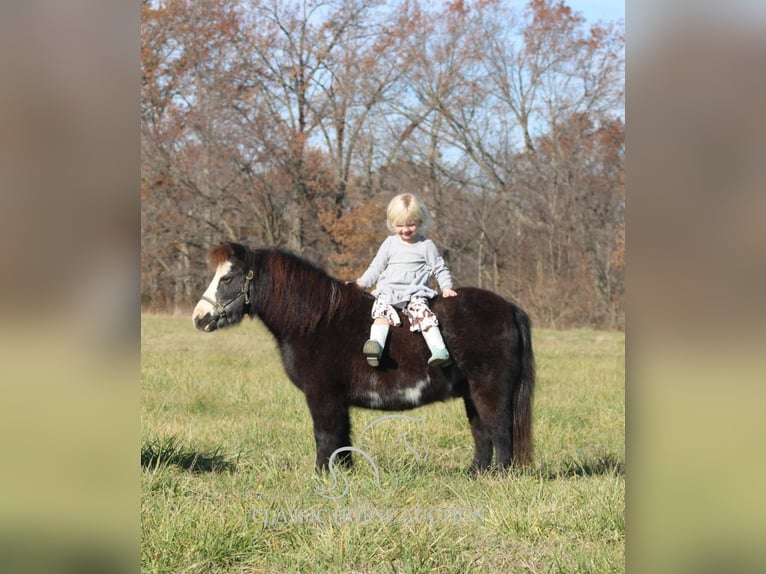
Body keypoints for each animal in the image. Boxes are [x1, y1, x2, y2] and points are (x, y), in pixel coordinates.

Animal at [195, 243, 536, 472]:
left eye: (227, 279)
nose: (199, 318)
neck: (316, 321)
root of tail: (509, 308)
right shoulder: (336, 398)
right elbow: (341, 437)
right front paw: (344, 472)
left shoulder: (323, 395)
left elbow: (325, 434)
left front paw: (323, 474)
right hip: (471, 393)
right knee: (482, 432)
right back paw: (475, 474)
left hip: (490, 390)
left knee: (500, 430)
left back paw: (500, 475)